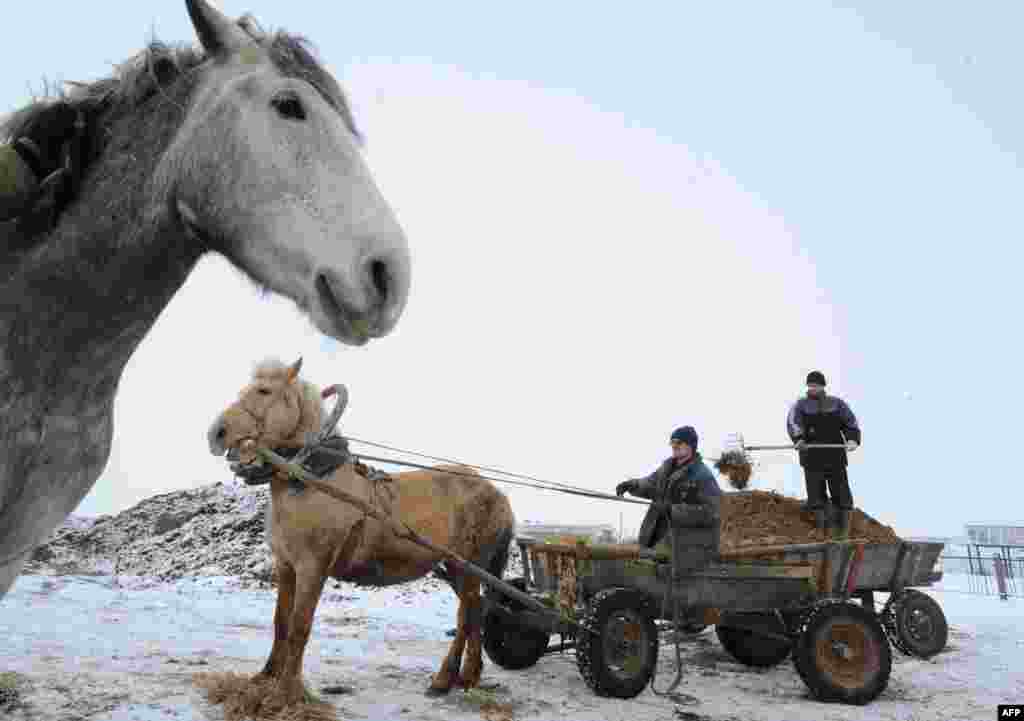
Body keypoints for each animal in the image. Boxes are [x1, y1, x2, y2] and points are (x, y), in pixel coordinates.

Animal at [207, 360, 516, 704]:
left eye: (264, 390)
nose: (216, 433)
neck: (312, 481)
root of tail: (498, 494)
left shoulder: (313, 567)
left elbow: (300, 626)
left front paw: (289, 690)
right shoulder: (285, 565)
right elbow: (281, 622)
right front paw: (266, 676)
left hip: (468, 566)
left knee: (465, 617)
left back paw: (443, 679)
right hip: (456, 567)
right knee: (476, 612)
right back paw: (468, 676)